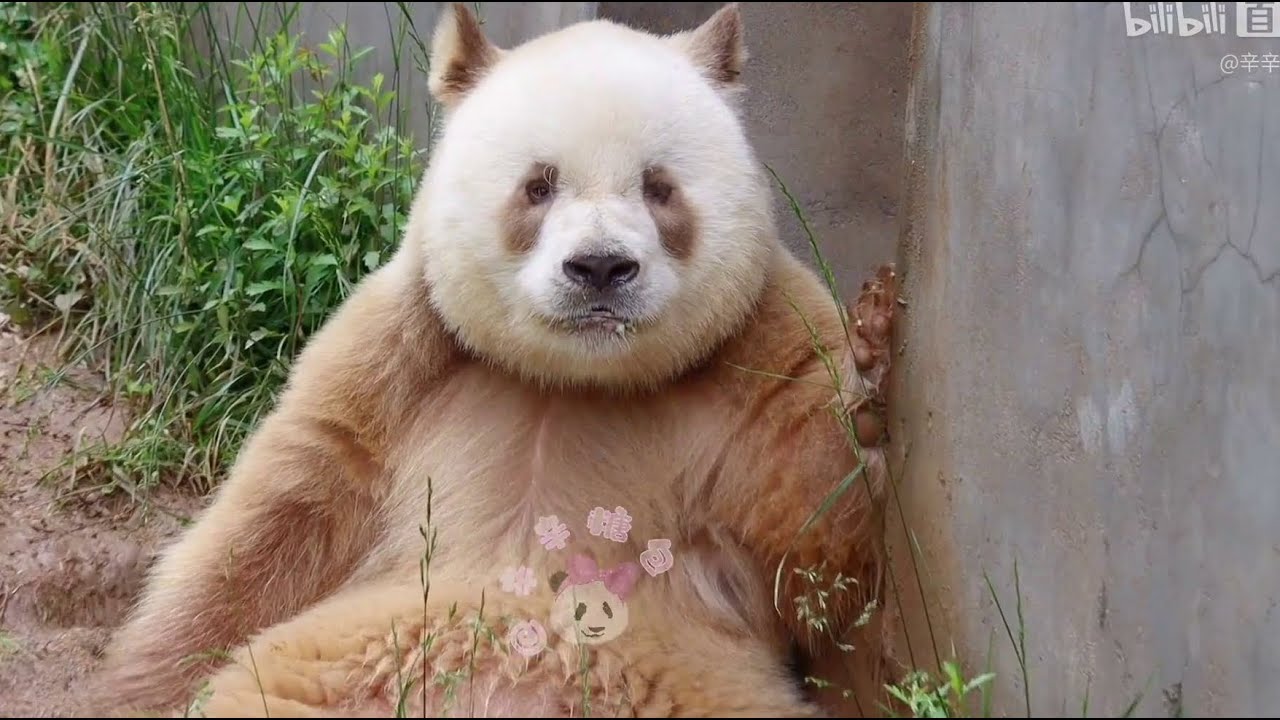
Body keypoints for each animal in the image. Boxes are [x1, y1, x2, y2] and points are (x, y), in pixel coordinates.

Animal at [96, 3, 900, 717]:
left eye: (659, 187)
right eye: (538, 185)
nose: (599, 269)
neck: (575, 382)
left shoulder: (754, 355)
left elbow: (814, 545)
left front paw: (870, 368)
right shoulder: (403, 357)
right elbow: (285, 515)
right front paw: (139, 690)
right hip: (323, 672)